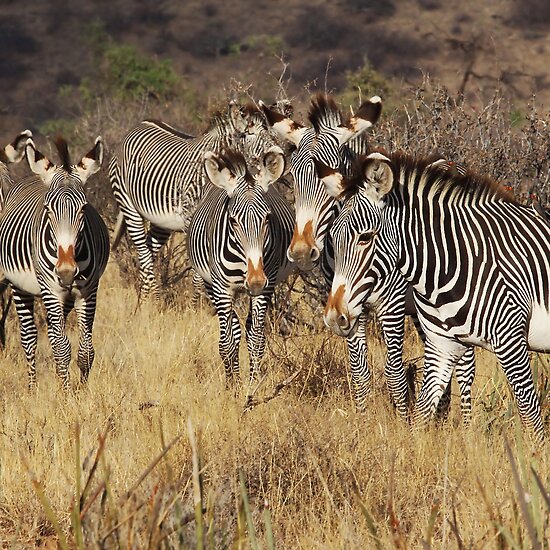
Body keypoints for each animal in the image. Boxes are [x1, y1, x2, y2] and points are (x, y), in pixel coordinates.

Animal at [0, 136, 110, 390]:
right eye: (48, 209)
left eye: (83, 208)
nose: (67, 272)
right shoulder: (50, 289)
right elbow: (61, 349)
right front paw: (66, 394)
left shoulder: (88, 291)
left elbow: (85, 351)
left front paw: (81, 391)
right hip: (19, 287)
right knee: (29, 337)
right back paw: (32, 388)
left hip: (65, 298)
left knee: (51, 332)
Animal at [108, 103, 272, 302]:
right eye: (250, 133)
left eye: (269, 130)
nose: (283, 150)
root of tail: (138, 125)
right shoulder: (191, 221)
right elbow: (199, 272)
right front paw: (196, 305)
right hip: (128, 205)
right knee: (144, 255)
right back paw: (156, 299)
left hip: (162, 223)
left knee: (148, 251)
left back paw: (143, 301)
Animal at [188, 147, 296, 392]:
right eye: (233, 221)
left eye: (267, 218)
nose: (255, 280)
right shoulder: (222, 289)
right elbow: (227, 342)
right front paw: (234, 389)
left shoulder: (266, 286)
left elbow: (256, 340)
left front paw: (252, 387)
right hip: (211, 286)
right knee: (231, 333)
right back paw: (232, 380)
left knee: (244, 329)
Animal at [320, 151, 550, 444]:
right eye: (332, 238)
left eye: (365, 238)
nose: (334, 317)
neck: (453, 264)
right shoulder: (442, 346)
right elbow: (420, 417)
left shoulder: (511, 342)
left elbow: (532, 420)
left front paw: (532, 455)